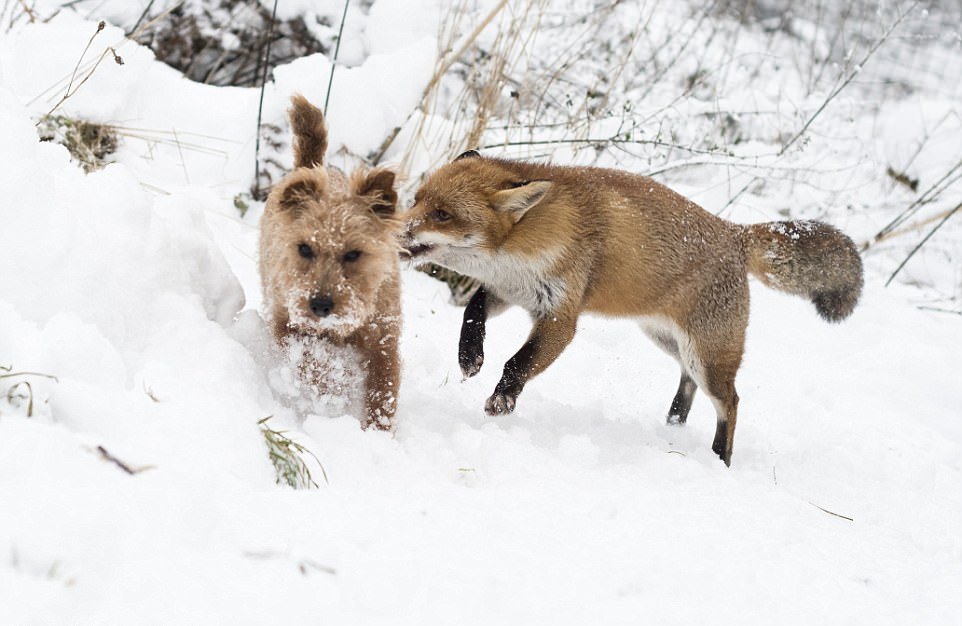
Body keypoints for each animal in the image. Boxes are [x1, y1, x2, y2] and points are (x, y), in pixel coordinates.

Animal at [256, 95, 400, 428]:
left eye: (353, 253)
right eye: (304, 248)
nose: (320, 305)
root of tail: (312, 166)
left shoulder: (385, 339)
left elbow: (384, 390)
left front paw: (378, 432)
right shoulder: (287, 320)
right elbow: (310, 362)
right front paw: (332, 387)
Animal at [398, 150, 864, 464]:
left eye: (442, 214)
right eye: (417, 199)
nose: (395, 228)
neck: (521, 248)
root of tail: (735, 232)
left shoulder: (560, 315)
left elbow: (518, 363)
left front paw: (502, 402)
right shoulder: (510, 291)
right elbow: (471, 312)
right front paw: (469, 357)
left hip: (708, 356)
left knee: (730, 401)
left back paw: (719, 457)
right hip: (669, 341)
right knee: (688, 384)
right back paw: (673, 423)